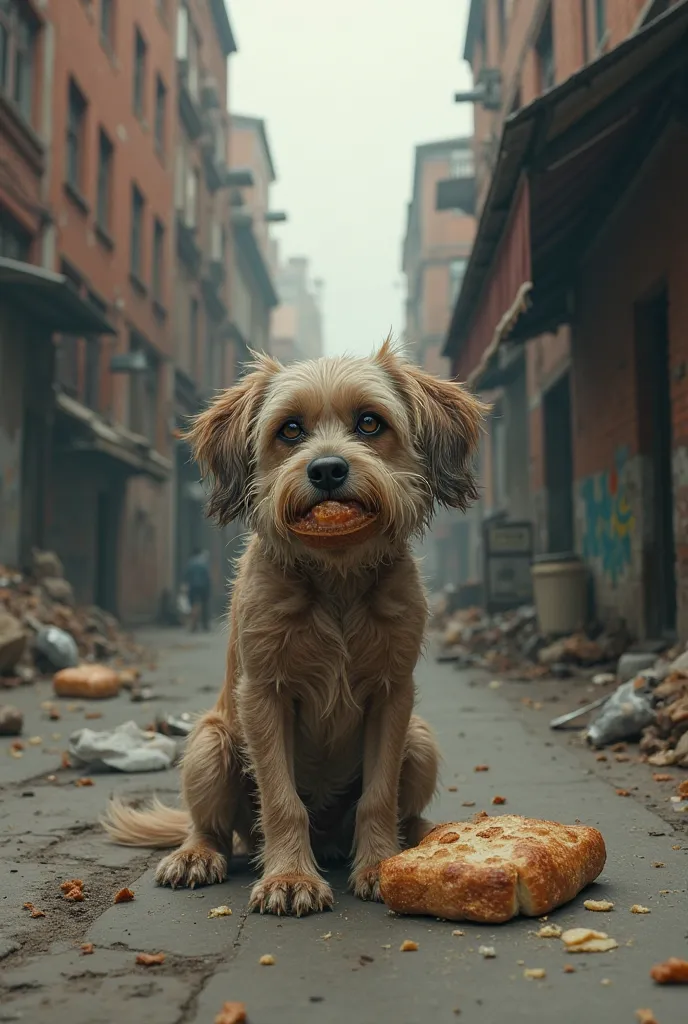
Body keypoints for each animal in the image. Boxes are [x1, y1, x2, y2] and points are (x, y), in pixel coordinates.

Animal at [105, 339, 483, 917]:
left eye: (370, 423)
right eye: (289, 430)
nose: (326, 470)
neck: (335, 579)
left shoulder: (393, 696)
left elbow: (379, 795)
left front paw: (379, 864)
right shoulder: (265, 696)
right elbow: (282, 801)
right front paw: (289, 877)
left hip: (419, 741)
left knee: (403, 808)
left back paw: (421, 838)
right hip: (210, 745)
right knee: (212, 828)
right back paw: (197, 855)